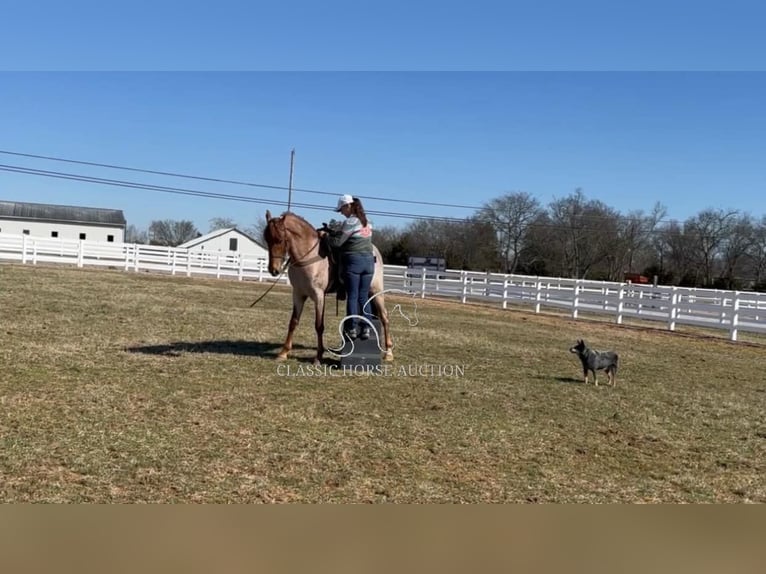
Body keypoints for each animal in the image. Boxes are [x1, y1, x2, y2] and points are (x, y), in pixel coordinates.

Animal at [264, 212, 396, 364]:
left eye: (279, 240)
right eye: (266, 239)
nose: (273, 270)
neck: (308, 257)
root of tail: (374, 251)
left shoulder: (319, 296)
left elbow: (319, 325)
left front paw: (318, 357)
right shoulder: (298, 294)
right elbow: (293, 322)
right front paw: (283, 353)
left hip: (377, 291)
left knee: (384, 317)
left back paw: (389, 353)